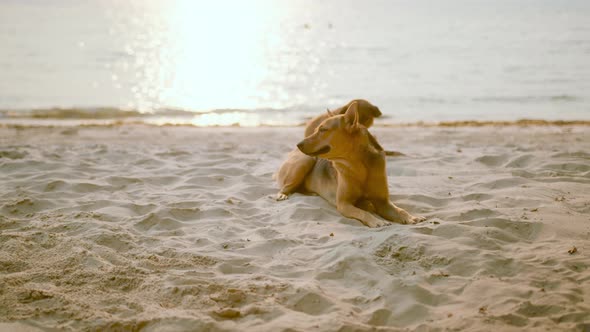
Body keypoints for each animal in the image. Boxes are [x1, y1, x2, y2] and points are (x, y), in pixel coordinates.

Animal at [278, 101, 426, 227]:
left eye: (323, 130)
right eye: (316, 129)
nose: (298, 144)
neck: (359, 165)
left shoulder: (383, 202)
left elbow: (400, 210)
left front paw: (411, 217)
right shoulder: (344, 204)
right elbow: (363, 212)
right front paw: (376, 221)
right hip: (305, 161)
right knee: (286, 186)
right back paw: (282, 194)